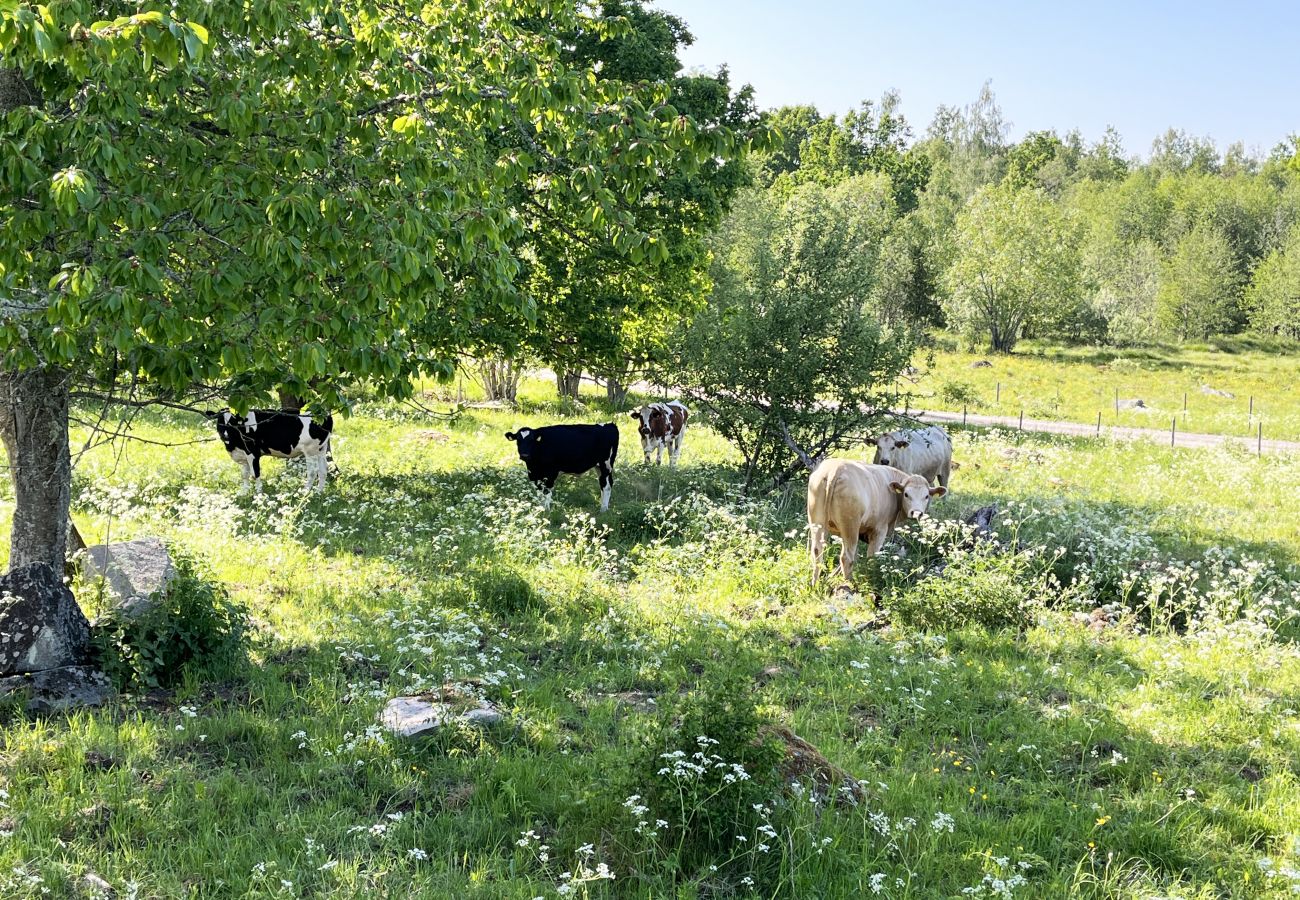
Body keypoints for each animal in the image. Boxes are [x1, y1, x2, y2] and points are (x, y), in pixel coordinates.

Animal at [204, 408, 335, 491]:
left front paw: (258, 494)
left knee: (313, 471)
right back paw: (319, 492)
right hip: (321, 449)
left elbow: (255, 473)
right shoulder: (243, 455)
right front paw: (245, 493)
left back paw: (306, 492)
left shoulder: (252, 453)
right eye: (220, 421)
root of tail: (325, 414)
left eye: (232, 422)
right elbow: (244, 475)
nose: (225, 435)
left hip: (310, 450)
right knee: (323, 470)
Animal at [800, 460, 946, 587]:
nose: (916, 513)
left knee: (817, 552)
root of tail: (835, 469)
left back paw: (815, 583)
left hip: (818, 523)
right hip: (850, 526)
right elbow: (871, 557)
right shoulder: (879, 530)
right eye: (906, 494)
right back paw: (849, 583)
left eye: (926, 496)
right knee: (846, 557)